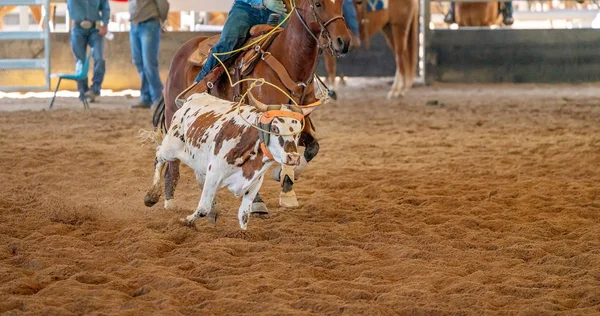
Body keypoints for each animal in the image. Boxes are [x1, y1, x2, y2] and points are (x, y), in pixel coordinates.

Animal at [145, 92, 314, 230]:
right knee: (158, 155)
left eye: (299, 131)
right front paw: (185, 221)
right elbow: (203, 208)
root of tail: (190, 99)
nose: (293, 157)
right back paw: (152, 195)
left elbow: (244, 215)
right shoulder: (214, 172)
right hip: (171, 147)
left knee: (198, 176)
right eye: (275, 128)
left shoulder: (255, 180)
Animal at [152, 0, 354, 214]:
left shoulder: (300, 121)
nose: (344, 42)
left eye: (341, 3)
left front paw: (286, 183)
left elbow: (312, 147)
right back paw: (169, 200)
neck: (288, 61)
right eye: (318, 4)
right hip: (174, 116)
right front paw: (258, 201)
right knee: (172, 157)